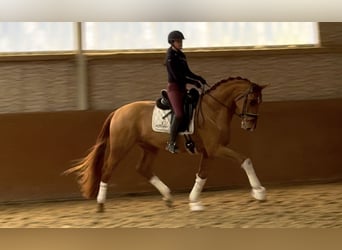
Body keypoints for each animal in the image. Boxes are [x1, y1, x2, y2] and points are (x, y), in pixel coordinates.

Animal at [63, 76, 268, 211]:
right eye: (252, 100)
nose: (250, 126)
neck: (213, 110)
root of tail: (118, 111)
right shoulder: (216, 149)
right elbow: (245, 160)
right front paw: (259, 192)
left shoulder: (209, 152)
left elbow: (202, 175)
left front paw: (194, 201)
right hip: (121, 147)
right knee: (107, 169)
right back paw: (100, 203)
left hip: (149, 147)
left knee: (143, 169)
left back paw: (168, 197)